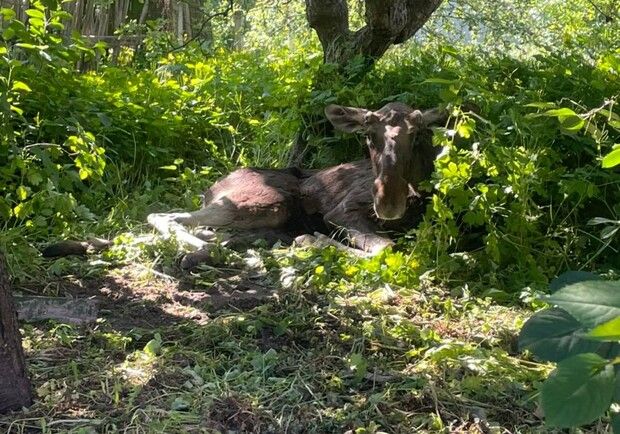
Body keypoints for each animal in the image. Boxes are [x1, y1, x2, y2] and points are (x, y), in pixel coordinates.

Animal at [146, 102, 448, 268]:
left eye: (418, 134)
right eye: (368, 135)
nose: (388, 201)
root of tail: (212, 187)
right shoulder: (342, 210)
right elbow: (386, 248)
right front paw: (315, 241)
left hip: (271, 219)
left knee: (215, 232)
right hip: (266, 203)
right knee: (163, 215)